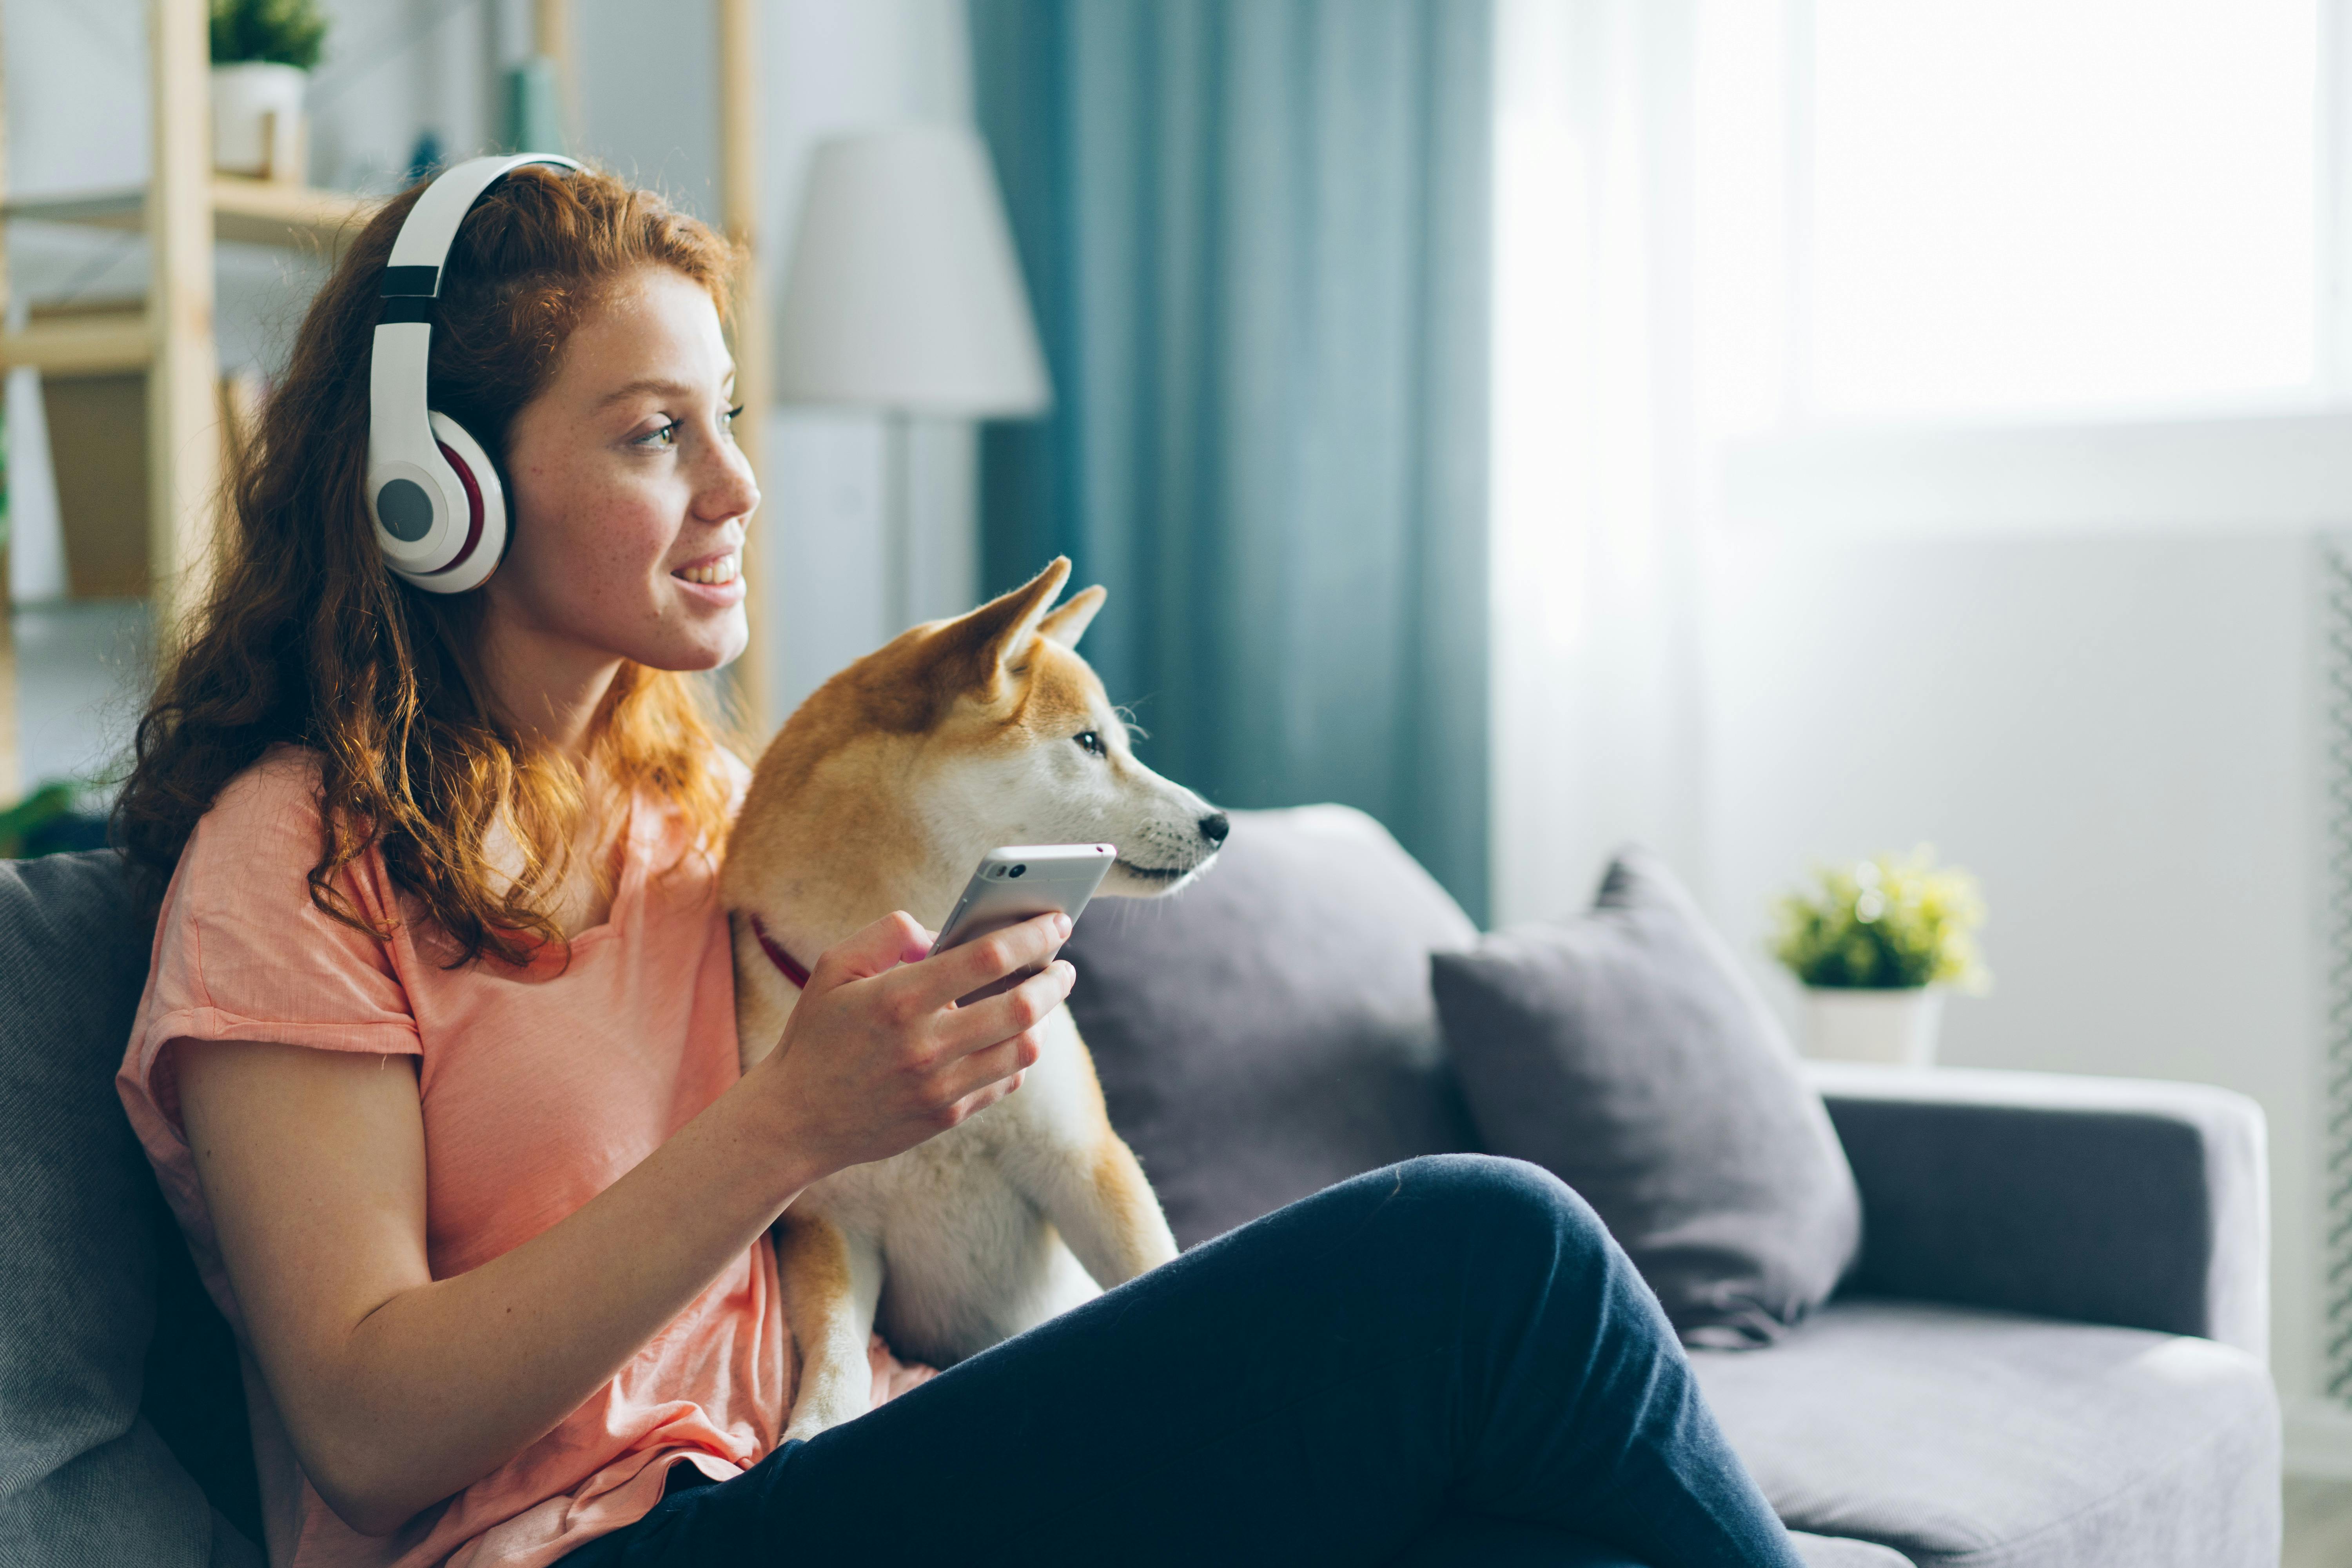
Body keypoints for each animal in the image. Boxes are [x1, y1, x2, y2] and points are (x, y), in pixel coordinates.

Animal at [724, 557, 1223, 1439]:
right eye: (1089, 742)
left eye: (1118, 742)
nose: (1220, 821)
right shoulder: (829, 1219)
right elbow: (837, 1352)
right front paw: (816, 1425)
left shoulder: (1082, 1160)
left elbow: (1152, 1269)